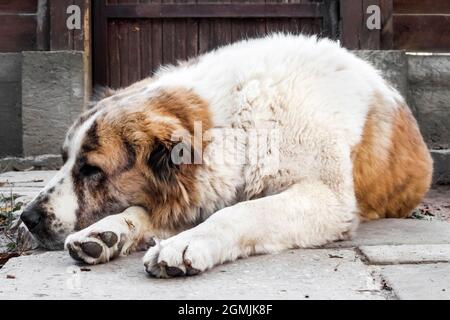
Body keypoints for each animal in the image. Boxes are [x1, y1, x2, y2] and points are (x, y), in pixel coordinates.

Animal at [20, 34, 432, 278]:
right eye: (64, 159)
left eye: (91, 170)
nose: (27, 218)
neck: (239, 122)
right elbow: (147, 210)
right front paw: (107, 233)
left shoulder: (326, 196)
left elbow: (241, 211)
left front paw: (186, 244)